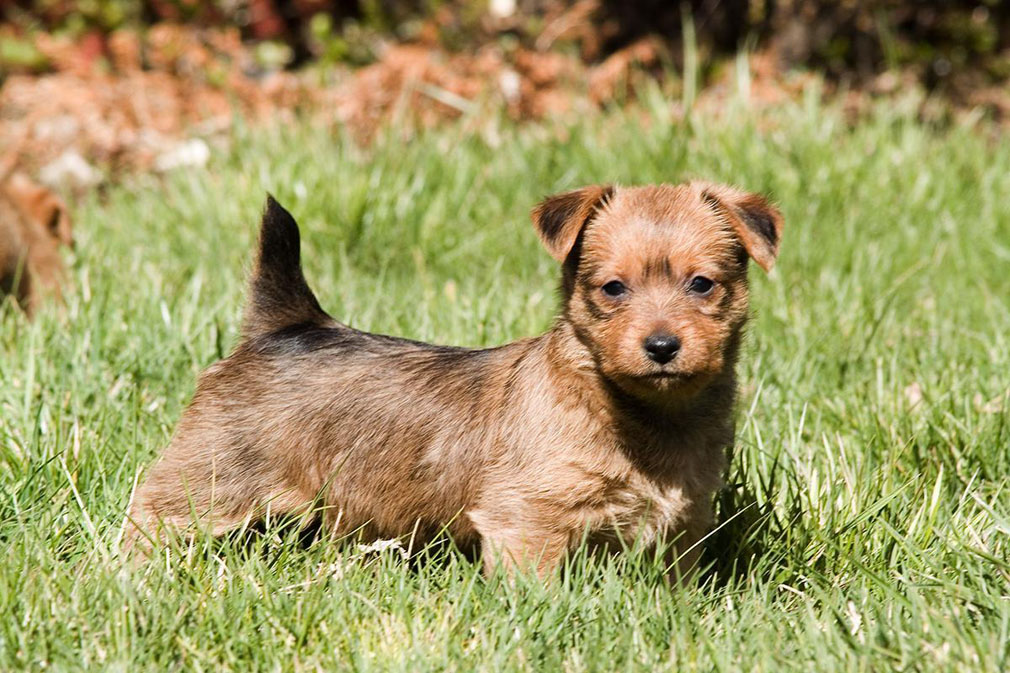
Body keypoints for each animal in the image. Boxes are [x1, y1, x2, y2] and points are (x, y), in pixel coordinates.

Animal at [126, 181, 783, 578]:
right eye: (613, 288)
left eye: (702, 284)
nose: (662, 346)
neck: (643, 414)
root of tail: (288, 324)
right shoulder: (528, 522)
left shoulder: (681, 529)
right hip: (209, 481)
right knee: (152, 517)